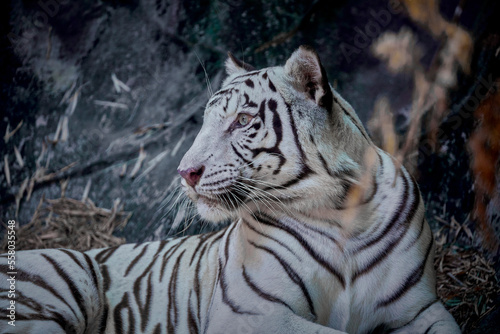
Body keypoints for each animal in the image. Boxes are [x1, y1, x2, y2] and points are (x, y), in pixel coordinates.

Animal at [0, 45, 460, 332]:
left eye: (242, 120)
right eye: (205, 120)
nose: (185, 172)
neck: (340, 211)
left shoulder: (420, 309)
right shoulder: (252, 312)